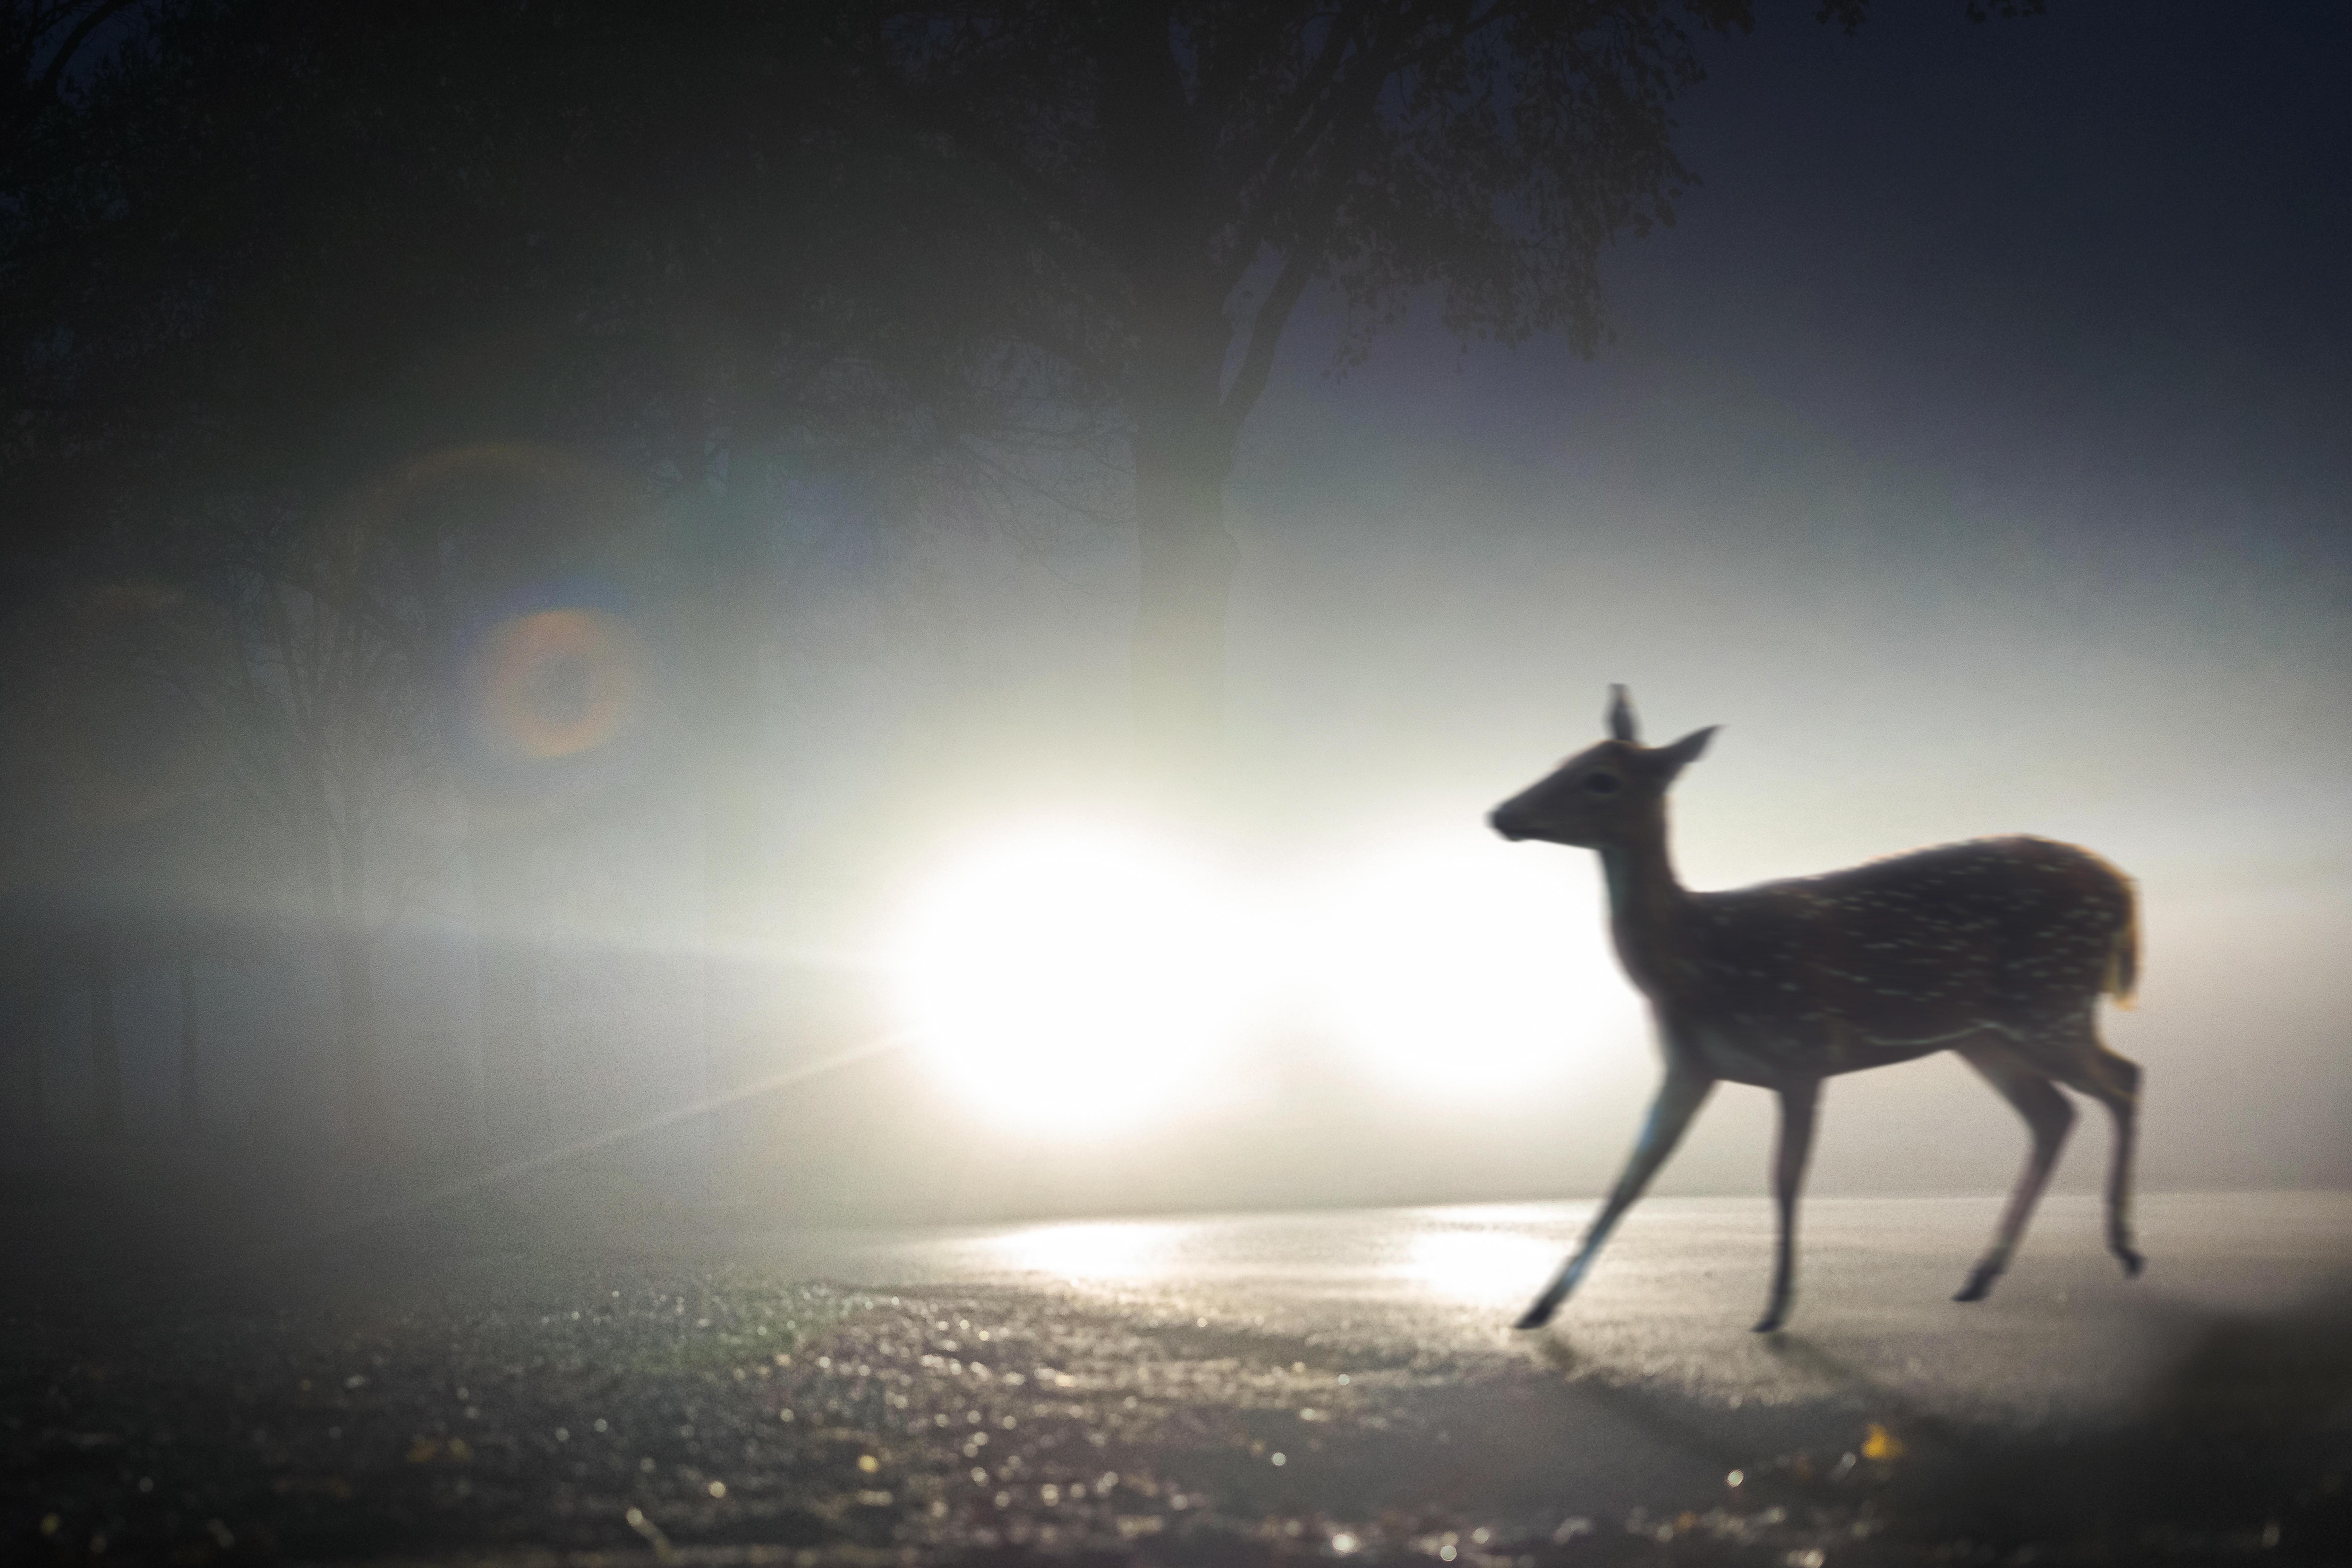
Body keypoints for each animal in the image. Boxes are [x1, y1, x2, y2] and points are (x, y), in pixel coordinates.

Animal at [1490, 687, 2144, 1334]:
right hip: (1986, 1035)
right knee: (2054, 1113)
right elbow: (1631, 1176)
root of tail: (2124, 888)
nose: (1500, 814)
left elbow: (1784, 1177)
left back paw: (2125, 1249)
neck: (1699, 960)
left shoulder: (1800, 1053)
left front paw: (1776, 1306)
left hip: (2050, 1002)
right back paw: (1981, 1276)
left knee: (2123, 1079)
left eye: (1600, 779)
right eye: (1563, 760)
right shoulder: (1688, 1066)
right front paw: (1539, 1308)